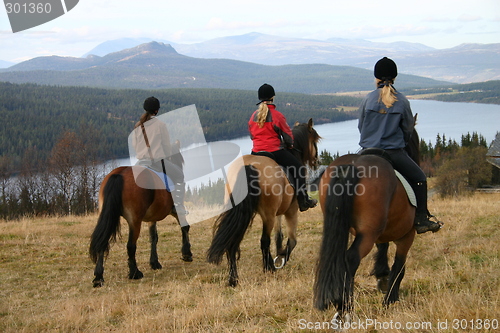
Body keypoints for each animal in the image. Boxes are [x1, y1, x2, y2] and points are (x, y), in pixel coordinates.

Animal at [89, 141, 192, 286]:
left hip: (107, 217)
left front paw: (154, 262)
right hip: (134, 221)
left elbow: (153, 237)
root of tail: (119, 174)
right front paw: (186, 253)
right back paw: (135, 273)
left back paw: (99, 277)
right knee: (131, 245)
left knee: (103, 242)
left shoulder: (152, 218)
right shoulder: (175, 209)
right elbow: (185, 227)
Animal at [206, 118, 320, 286]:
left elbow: (278, 236)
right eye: (314, 141)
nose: (316, 162)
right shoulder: (291, 210)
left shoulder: (278, 212)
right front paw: (280, 259)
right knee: (264, 241)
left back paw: (233, 278)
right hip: (268, 215)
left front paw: (278, 255)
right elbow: (292, 241)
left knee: (234, 243)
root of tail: (248, 166)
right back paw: (269, 268)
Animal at [312, 121, 422, 316]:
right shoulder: (408, 235)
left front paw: (382, 277)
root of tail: (352, 166)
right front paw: (390, 299)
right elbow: (399, 265)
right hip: (368, 234)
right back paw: (345, 306)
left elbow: (383, 248)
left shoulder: (381, 231)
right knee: (351, 259)